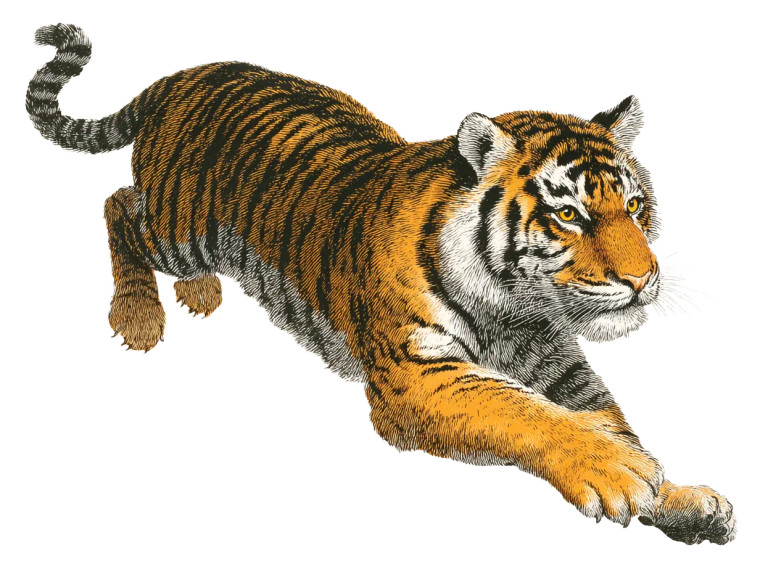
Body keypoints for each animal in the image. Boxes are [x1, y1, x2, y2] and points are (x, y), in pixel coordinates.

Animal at [26, 23, 735, 545]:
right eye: (569, 215)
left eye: (635, 207)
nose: (643, 280)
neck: (513, 306)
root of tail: (182, 75)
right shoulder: (417, 375)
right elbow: (522, 411)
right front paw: (617, 471)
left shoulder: (559, 361)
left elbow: (609, 417)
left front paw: (679, 498)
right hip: (181, 228)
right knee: (118, 206)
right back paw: (140, 314)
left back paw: (199, 292)